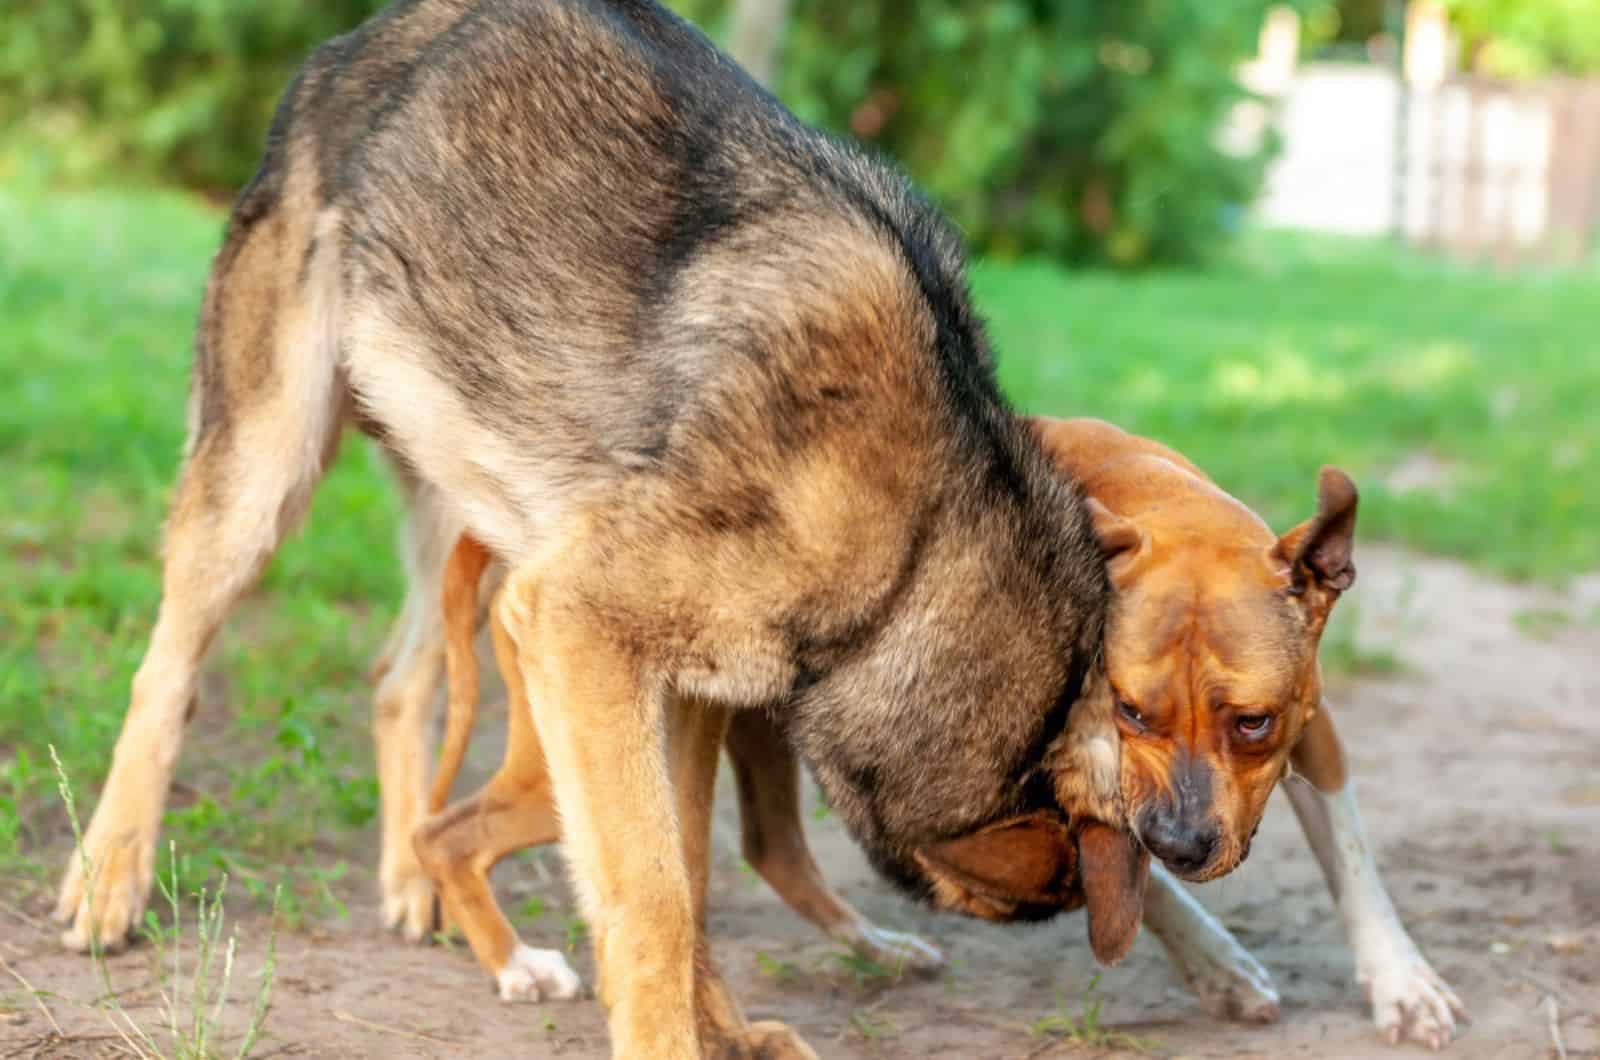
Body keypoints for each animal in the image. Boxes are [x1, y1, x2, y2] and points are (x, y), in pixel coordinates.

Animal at [59, 2, 1139, 1056]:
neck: (919, 546)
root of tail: (351, 43)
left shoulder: (684, 686)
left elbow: (690, 874)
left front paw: (724, 1030)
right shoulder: (578, 622)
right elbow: (656, 893)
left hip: (467, 520)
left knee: (399, 683)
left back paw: (413, 882)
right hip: (265, 483)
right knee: (168, 673)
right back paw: (109, 877)